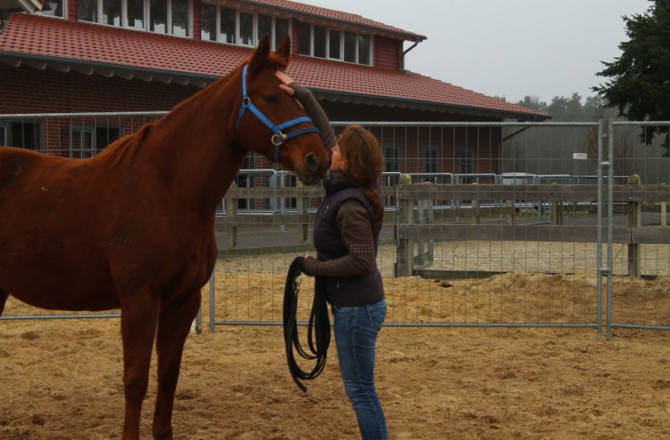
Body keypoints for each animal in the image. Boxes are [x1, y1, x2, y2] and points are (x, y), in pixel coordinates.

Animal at [0, 36, 328, 438]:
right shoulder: (139, 301)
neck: (167, 188)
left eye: (297, 97)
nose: (317, 159)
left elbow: (168, 377)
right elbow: (136, 380)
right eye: (269, 97)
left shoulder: (183, 301)